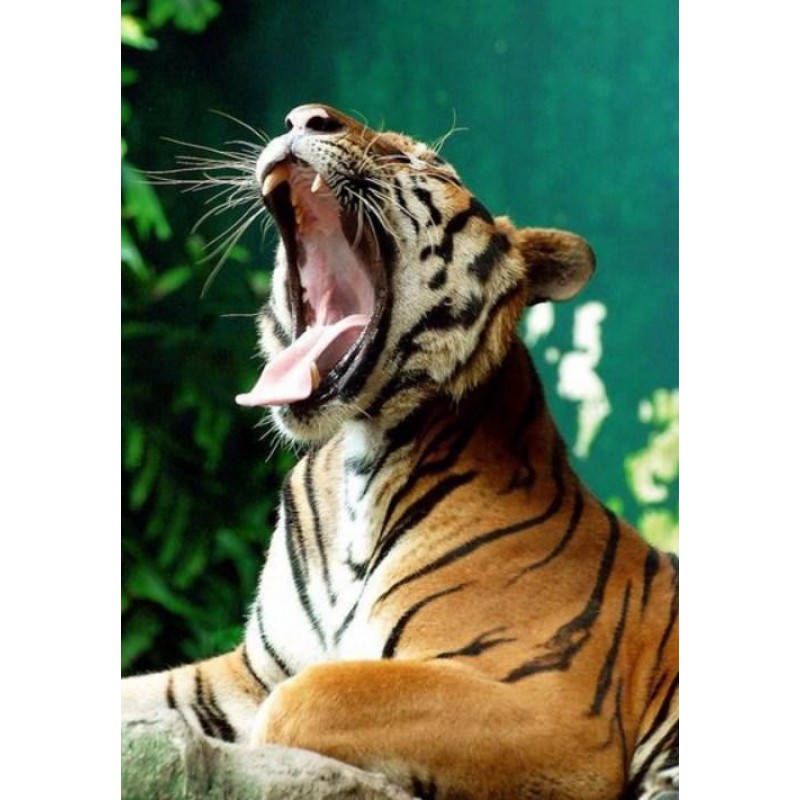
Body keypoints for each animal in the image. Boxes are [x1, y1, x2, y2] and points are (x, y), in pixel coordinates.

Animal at [122, 103, 679, 800]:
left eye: (415, 158)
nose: (303, 117)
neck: (356, 470)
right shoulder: (253, 670)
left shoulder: (554, 712)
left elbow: (307, 700)